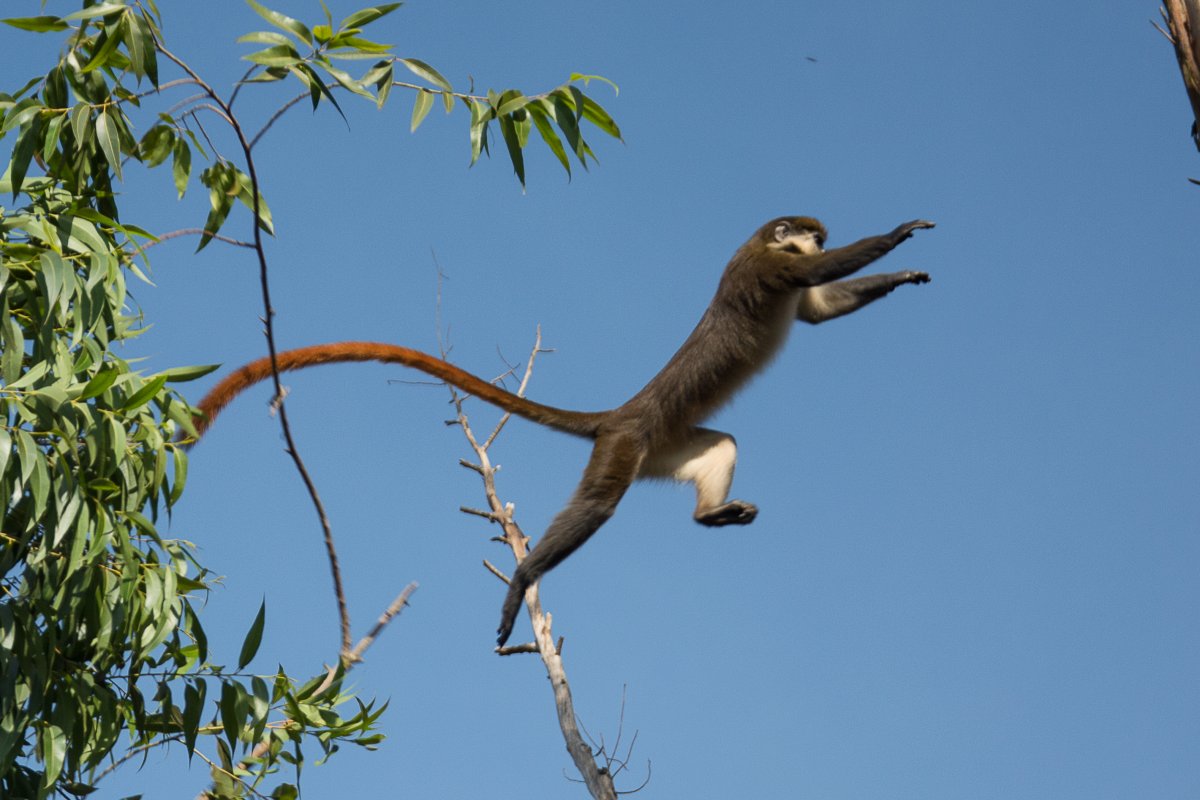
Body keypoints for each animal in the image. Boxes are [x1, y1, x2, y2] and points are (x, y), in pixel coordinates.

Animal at [187, 217, 936, 642]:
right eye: (813, 233)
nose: (821, 236)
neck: (753, 246)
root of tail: (622, 412)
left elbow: (816, 309)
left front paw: (901, 272)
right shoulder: (767, 266)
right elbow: (814, 279)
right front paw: (896, 236)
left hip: (664, 446)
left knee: (719, 445)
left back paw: (710, 516)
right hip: (627, 446)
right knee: (599, 503)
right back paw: (524, 576)